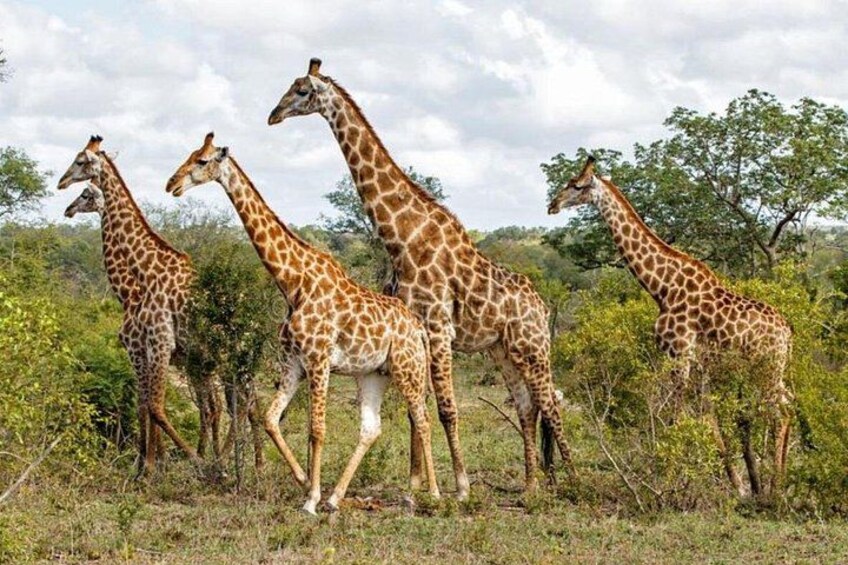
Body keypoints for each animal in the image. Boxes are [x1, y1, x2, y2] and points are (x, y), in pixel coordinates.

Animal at [58, 136, 203, 476]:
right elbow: (145, 403)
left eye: (81, 162)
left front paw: (154, 465)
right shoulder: (144, 348)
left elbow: (153, 406)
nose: (62, 186)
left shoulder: (154, 343)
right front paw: (148, 463)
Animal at [165, 132, 441, 514]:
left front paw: (310, 498)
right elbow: (270, 418)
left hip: (407, 367)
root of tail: (417, 327)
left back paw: (433, 494)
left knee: (423, 419)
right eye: (190, 154)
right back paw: (336, 497)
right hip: (374, 373)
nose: (171, 184)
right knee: (371, 428)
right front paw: (304, 482)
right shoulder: (294, 361)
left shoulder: (318, 359)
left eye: (203, 161)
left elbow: (317, 429)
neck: (292, 282)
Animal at [268, 58, 574, 497]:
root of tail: (542, 305)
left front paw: (460, 487)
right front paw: (416, 484)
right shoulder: (416, 329)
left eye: (302, 91)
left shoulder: (438, 327)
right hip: (503, 350)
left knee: (550, 403)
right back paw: (532, 483)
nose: (273, 115)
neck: (403, 237)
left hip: (533, 346)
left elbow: (446, 409)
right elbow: (419, 409)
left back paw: (574, 481)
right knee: (527, 405)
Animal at [548, 156, 793, 496]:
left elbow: (676, 414)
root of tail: (788, 333)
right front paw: (737, 485)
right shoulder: (696, 360)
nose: (552, 205)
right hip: (774, 369)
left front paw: (670, 478)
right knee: (788, 404)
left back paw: (776, 487)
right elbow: (706, 415)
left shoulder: (680, 353)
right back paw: (775, 483)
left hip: (765, 367)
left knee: (779, 411)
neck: (662, 287)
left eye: (577, 185)